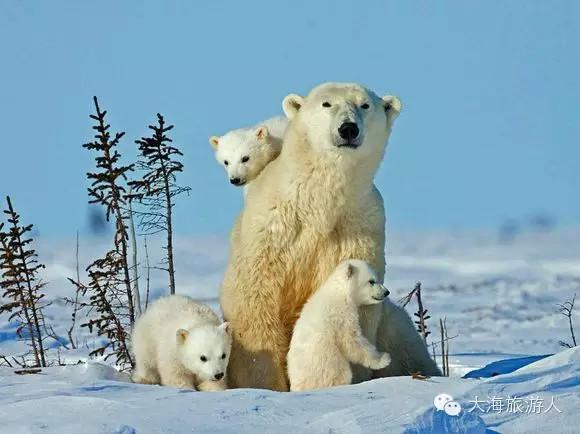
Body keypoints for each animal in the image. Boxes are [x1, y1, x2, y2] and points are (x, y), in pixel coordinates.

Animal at [288, 260, 392, 392]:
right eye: (371, 281)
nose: (386, 292)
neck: (340, 292)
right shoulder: (341, 314)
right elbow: (351, 340)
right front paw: (383, 359)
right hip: (329, 366)